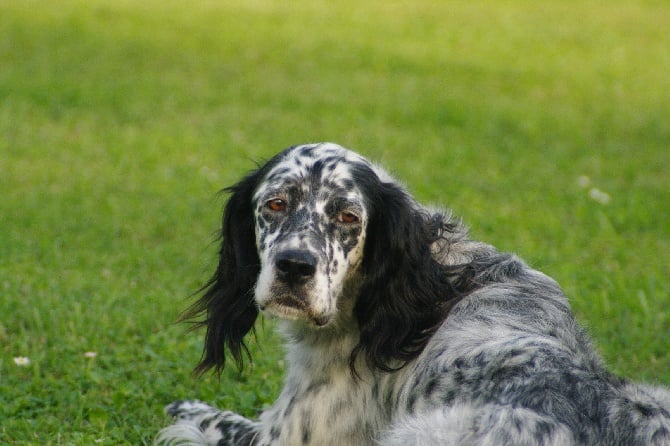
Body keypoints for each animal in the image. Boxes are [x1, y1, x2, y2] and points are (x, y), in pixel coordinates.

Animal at [155, 144, 668, 446]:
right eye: (275, 204)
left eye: (348, 217)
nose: (295, 266)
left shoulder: (281, 436)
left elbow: (222, 420)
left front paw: (186, 408)